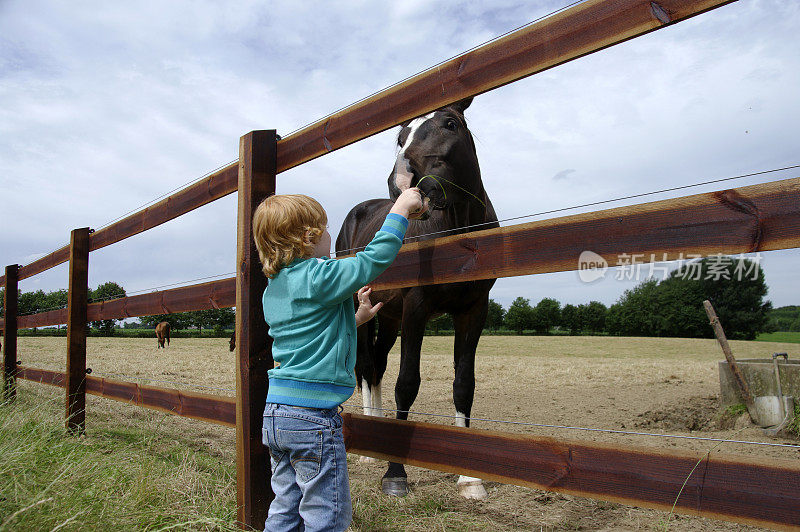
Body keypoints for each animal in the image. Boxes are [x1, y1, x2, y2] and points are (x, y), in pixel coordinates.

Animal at [334, 96, 496, 498]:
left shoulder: (473, 310)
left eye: (451, 124)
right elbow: (406, 383)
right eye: (401, 135)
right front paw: (395, 472)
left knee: (376, 367)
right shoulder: (416, 307)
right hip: (366, 312)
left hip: (388, 317)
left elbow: (463, 384)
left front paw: (470, 479)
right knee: (365, 368)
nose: (402, 182)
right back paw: (370, 451)